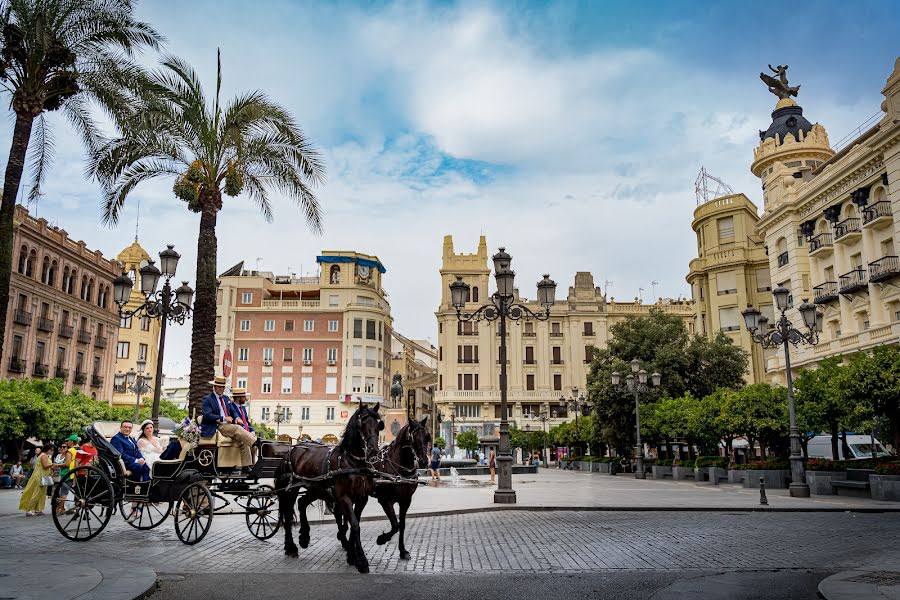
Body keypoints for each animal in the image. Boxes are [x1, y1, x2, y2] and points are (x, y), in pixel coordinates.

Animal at [278, 400, 384, 576]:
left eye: (378, 424)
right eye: (362, 423)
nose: (374, 450)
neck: (354, 462)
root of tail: (293, 448)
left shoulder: (362, 499)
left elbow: (354, 524)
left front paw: (351, 554)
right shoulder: (344, 498)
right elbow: (354, 525)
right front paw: (361, 560)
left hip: (315, 489)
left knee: (302, 503)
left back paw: (304, 537)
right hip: (292, 489)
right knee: (287, 512)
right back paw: (291, 546)